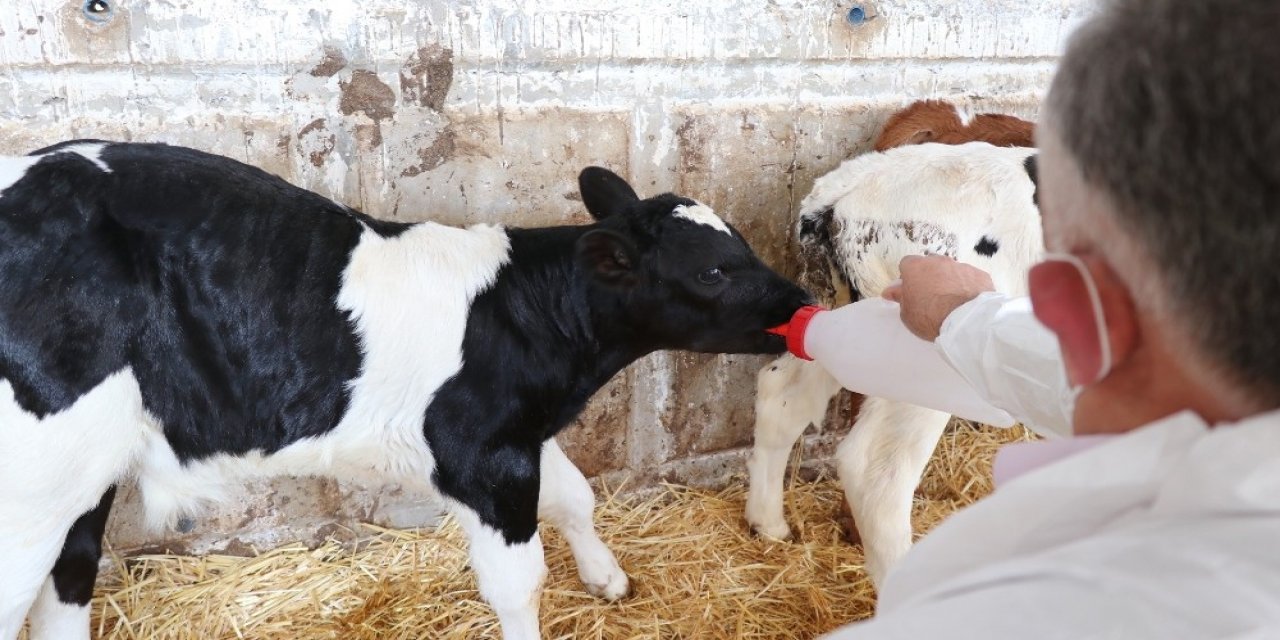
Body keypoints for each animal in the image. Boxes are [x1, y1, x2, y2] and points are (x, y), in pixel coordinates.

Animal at [0, 141, 808, 640]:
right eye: (712, 271)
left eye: (739, 241)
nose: (800, 300)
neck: (522, 310)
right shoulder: (480, 455)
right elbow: (519, 580)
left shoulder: (517, 433)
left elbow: (575, 496)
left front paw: (608, 578)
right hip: (34, 483)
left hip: (84, 476)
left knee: (68, 580)